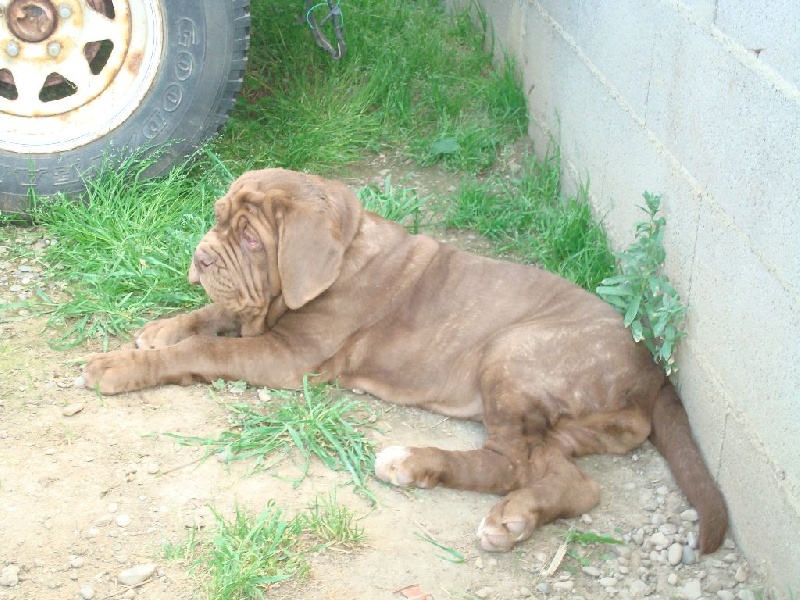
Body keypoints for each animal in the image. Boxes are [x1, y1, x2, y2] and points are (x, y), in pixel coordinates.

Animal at [84, 168, 728, 552]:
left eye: (248, 239)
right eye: (217, 219)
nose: (201, 255)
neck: (341, 251)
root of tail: (653, 370)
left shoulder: (285, 355)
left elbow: (210, 346)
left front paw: (115, 367)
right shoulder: (261, 324)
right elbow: (210, 316)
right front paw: (159, 329)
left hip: (513, 353)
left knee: (521, 467)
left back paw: (446, 482)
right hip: (561, 421)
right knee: (557, 475)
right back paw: (466, 490)